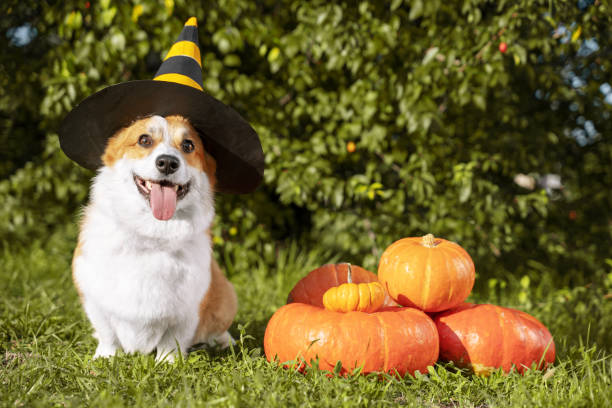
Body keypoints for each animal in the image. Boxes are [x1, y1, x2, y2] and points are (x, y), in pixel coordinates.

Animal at [73, 115, 238, 360]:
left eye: (188, 145)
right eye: (144, 140)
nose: (168, 163)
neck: (151, 234)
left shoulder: (188, 310)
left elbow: (172, 341)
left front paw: (166, 362)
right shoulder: (93, 299)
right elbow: (107, 333)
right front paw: (105, 357)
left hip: (226, 296)